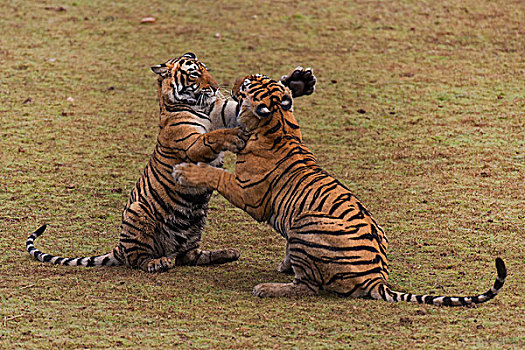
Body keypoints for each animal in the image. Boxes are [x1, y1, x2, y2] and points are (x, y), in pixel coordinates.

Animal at [25, 52, 316, 272]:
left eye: (207, 71)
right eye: (195, 74)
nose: (214, 86)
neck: (201, 106)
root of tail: (119, 246)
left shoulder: (227, 111)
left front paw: (299, 81)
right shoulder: (190, 144)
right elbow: (210, 137)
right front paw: (234, 136)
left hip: (197, 222)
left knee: (190, 256)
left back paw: (225, 253)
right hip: (138, 214)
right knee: (137, 259)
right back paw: (157, 262)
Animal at [173, 74, 508, 306]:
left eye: (245, 86)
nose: (232, 83)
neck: (279, 122)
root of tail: (376, 279)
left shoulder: (247, 192)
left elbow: (216, 175)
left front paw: (185, 172)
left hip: (306, 222)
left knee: (308, 287)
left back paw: (267, 288)